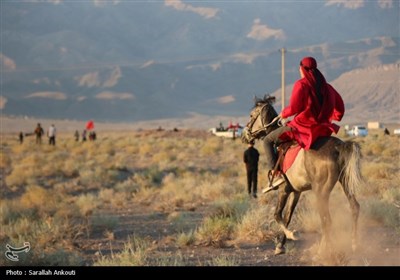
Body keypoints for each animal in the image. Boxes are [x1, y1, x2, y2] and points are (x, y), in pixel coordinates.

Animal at [242, 95, 364, 256]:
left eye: (251, 116)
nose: (244, 136)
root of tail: (339, 147)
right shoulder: (296, 191)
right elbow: (287, 216)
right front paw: (280, 245)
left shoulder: (284, 189)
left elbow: (277, 214)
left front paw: (291, 234)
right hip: (345, 182)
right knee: (354, 207)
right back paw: (354, 244)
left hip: (321, 191)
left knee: (326, 219)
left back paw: (323, 250)